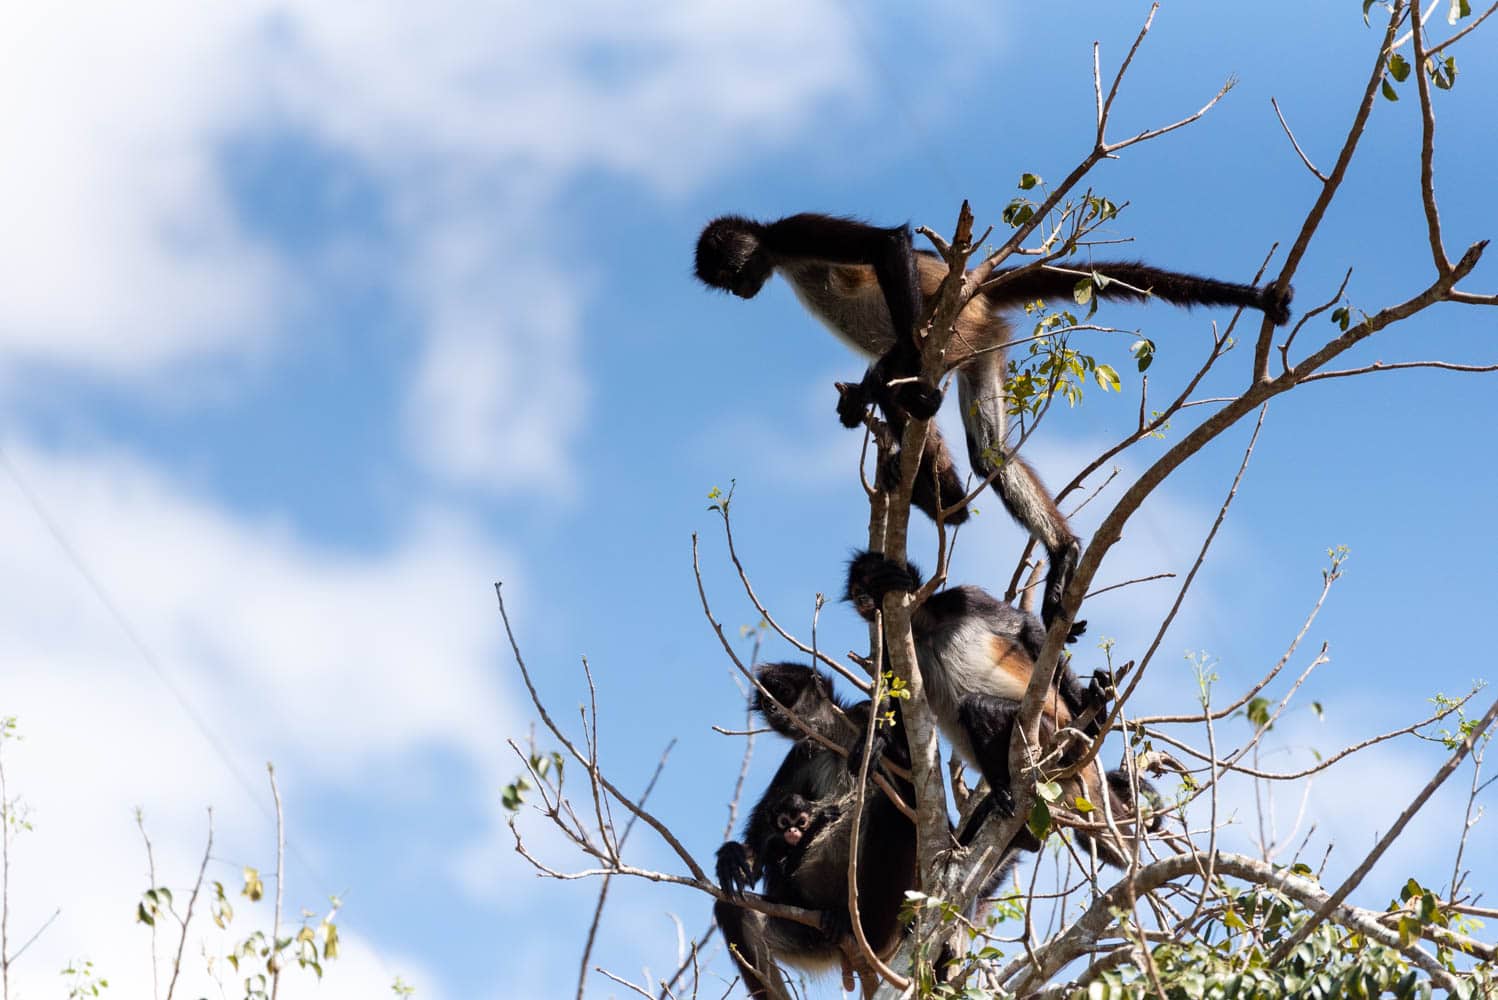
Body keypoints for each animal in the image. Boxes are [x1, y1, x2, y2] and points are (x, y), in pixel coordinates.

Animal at [689, 212, 1288, 631]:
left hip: (959, 333)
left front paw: (886, 373)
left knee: (929, 402)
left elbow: (886, 243)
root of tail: (973, 294)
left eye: (732, 274)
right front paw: (862, 401)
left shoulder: (792, 231)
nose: (740, 291)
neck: (774, 251)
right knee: (989, 455)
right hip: (983, 344)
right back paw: (993, 520)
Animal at [844, 550, 1156, 868]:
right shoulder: (892, 649)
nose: (862, 598)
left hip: (1051, 734)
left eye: (872, 581)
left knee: (976, 706)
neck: (922, 629)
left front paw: (1093, 714)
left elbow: (1024, 626)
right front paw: (876, 741)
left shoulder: (963, 597)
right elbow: (904, 718)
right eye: (857, 589)